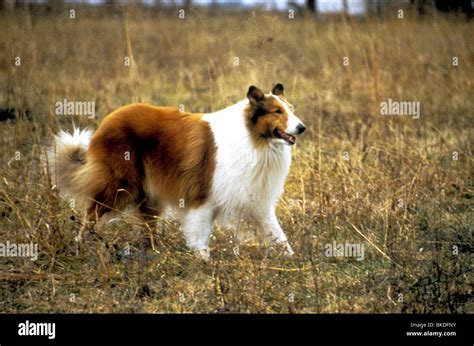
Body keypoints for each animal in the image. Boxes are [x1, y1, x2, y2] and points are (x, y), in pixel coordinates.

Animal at [50, 83, 306, 256]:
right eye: (277, 111)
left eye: (291, 109)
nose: (302, 127)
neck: (253, 138)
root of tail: (107, 121)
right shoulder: (202, 197)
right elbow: (200, 235)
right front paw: (204, 262)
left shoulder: (256, 202)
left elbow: (278, 235)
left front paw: (294, 259)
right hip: (119, 187)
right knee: (90, 216)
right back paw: (81, 245)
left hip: (148, 194)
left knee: (147, 225)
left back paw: (154, 251)